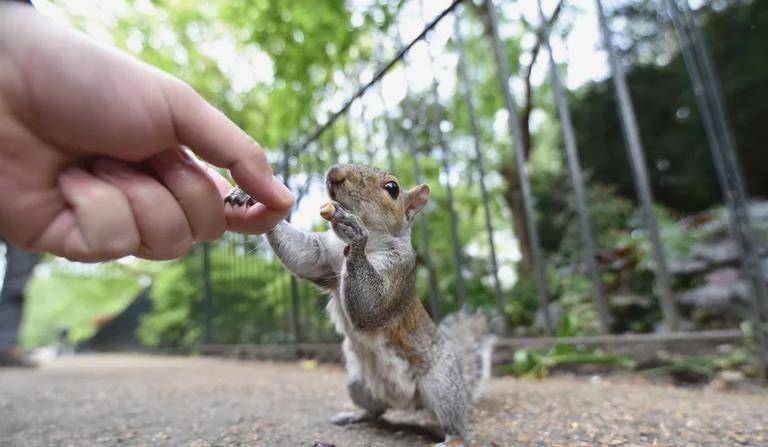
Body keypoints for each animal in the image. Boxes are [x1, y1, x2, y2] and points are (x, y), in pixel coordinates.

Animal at [225, 164, 496, 447]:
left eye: (392, 188)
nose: (334, 172)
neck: (372, 241)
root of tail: (408, 403)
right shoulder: (324, 256)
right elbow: (303, 255)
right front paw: (247, 194)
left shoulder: (398, 273)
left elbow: (371, 305)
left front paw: (355, 235)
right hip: (358, 384)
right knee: (377, 409)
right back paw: (355, 416)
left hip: (440, 385)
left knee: (455, 421)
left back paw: (452, 438)